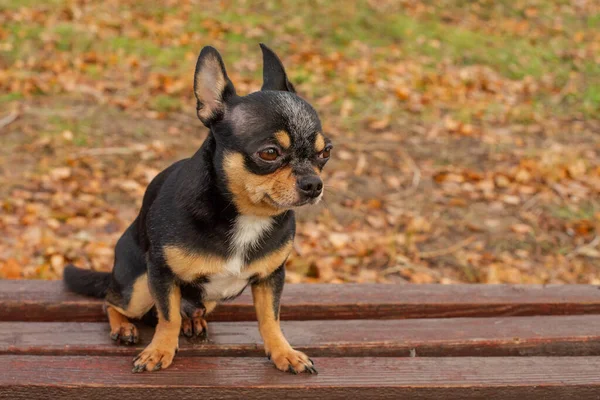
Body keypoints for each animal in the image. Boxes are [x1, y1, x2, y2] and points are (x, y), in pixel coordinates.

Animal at [63, 42, 330, 374]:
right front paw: (159, 351)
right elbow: (167, 316)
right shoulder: (161, 274)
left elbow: (271, 318)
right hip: (137, 287)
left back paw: (194, 321)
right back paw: (124, 327)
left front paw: (284, 352)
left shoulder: (271, 278)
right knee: (112, 303)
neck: (246, 215)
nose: (314, 184)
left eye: (326, 152)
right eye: (269, 153)